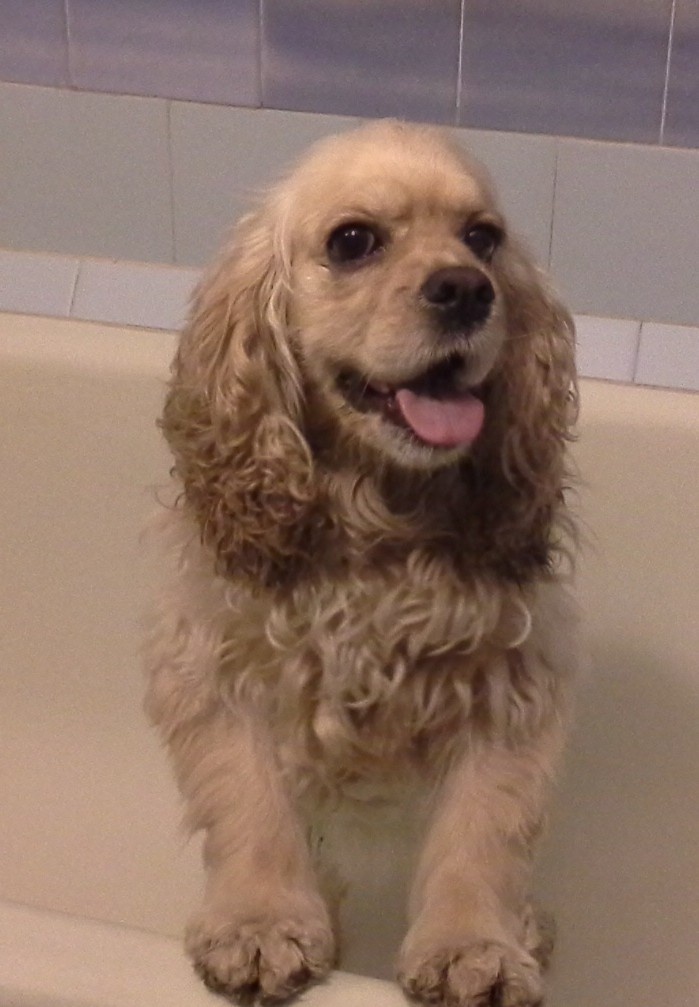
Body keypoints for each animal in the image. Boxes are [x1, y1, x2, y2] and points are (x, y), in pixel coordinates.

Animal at [144, 120, 580, 1006]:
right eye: (352, 241)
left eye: (483, 238)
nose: (466, 289)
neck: (380, 524)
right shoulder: (212, 669)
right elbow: (250, 804)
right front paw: (260, 924)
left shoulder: (513, 689)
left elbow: (481, 832)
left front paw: (472, 945)